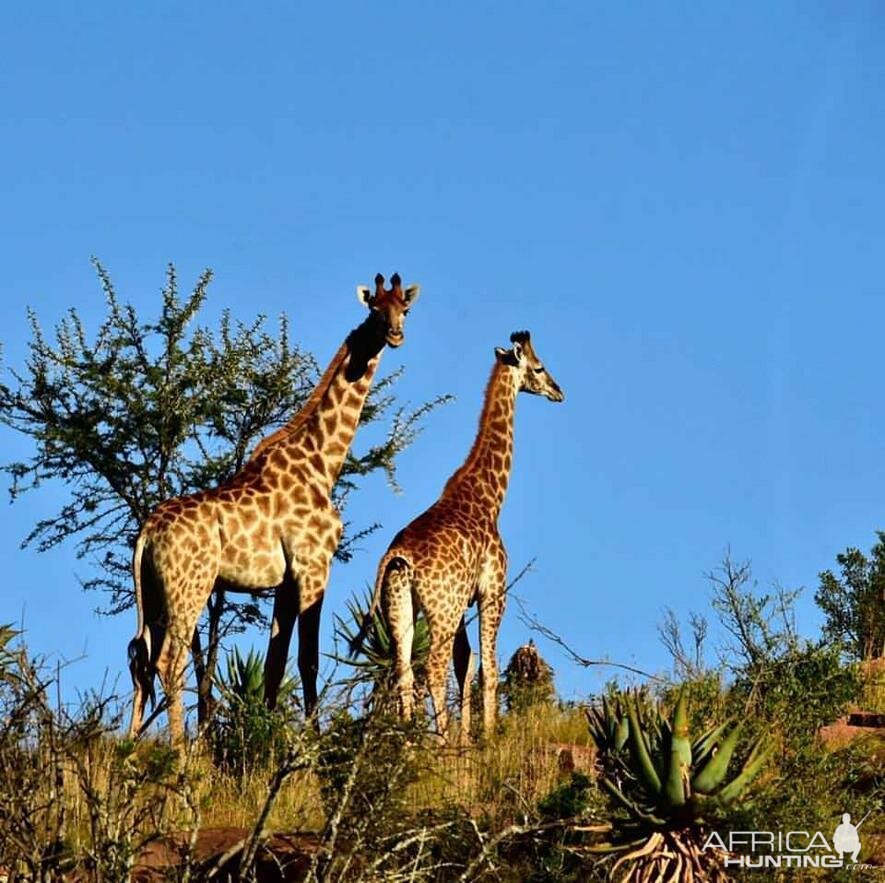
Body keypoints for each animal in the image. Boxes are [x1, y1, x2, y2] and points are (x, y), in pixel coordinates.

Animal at [128, 272, 422, 744]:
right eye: (376, 310)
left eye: (405, 309)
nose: (395, 335)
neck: (323, 461)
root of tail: (146, 533)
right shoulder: (314, 566)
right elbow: (308, 660)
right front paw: (311, 741)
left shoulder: (284, 581)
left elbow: (274, 664)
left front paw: (264, 741)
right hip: (189, 587)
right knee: (169, 661)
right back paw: (181, 751)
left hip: (153, 594)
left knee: (142, 659)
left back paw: (133, 749)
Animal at [358, 332, 560, 740]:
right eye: (540, 367)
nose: (559, 391)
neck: (488, 496)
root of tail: (398, 557)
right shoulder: (492, 590)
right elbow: (487, 667)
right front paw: (486, 738)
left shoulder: (465, 600)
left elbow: (465, 663)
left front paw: (467, 739)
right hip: (442, 608)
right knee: (433, 666)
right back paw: (439, 740)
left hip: (400, 605)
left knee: (403, 668)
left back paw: (409, 743)